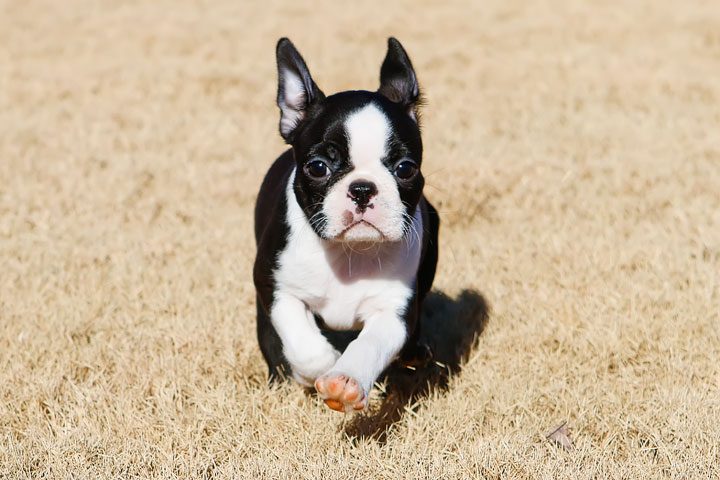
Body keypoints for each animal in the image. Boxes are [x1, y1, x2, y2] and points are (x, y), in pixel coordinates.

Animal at [253, 37, 438, 412]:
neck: (349, 251)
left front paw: (344, 381)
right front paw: (319, 366)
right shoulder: (274, 285)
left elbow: (372, 344)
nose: (363, 188)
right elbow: (301, 340)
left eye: (405, 168)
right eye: (318, 167)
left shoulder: (393, 309)